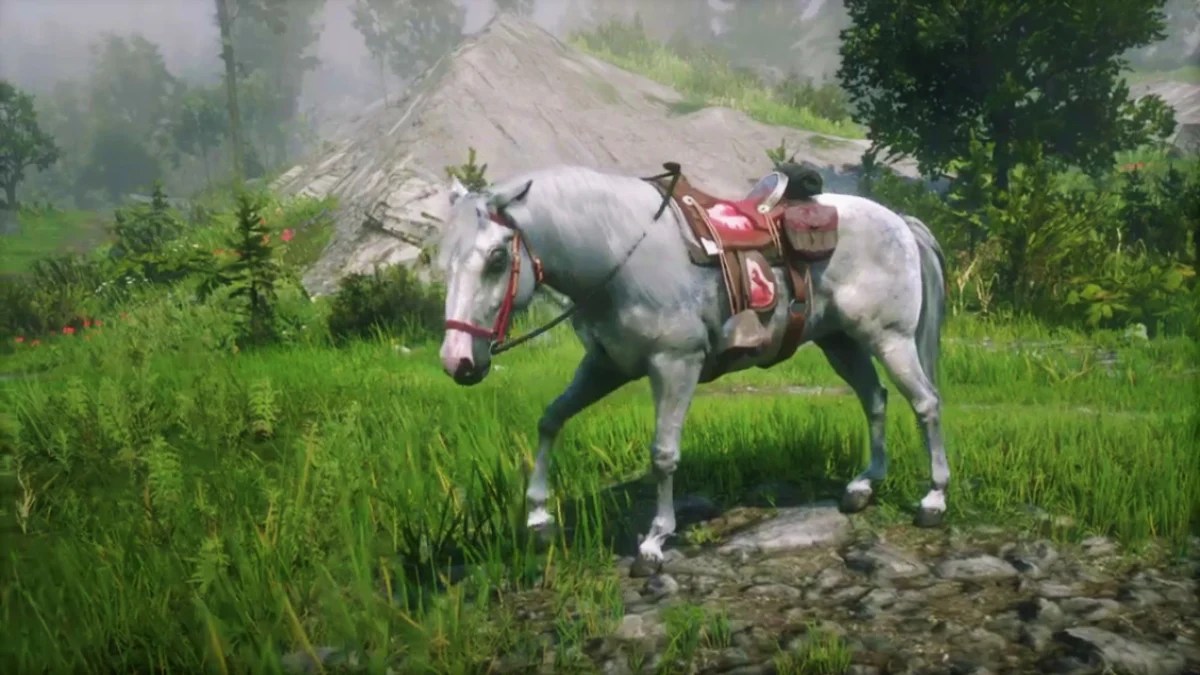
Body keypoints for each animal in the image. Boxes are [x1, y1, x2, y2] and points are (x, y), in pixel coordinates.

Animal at [435, 163, 948, 571]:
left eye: (497, 258)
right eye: (445, 260)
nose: (458, 361)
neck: (621, 255)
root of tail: (899, 222)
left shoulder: (675, 364)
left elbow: (663, 454)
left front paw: (654, 541)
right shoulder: (606, 365)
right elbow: (550, 419)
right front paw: (539, 518)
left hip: (890, 338)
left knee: (926, 404)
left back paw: (934, 500)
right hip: (841, 342)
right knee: (875, 399)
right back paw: (863, 487)